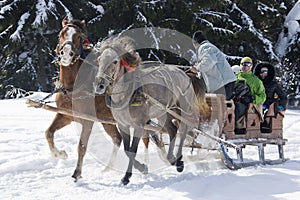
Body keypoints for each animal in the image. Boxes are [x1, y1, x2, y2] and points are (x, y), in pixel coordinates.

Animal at [47, 19, 155, 181]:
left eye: (79, 37)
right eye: (60, 34)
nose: (66, 53)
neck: (73, 86)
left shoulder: (88, 120)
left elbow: (82, 146)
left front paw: (77, 172)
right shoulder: (65, 115)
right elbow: (49, 133)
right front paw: (60, 154)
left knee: (145, 139)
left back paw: (145, 165)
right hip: (108, 121)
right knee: (118, 139)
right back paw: (110, 167)